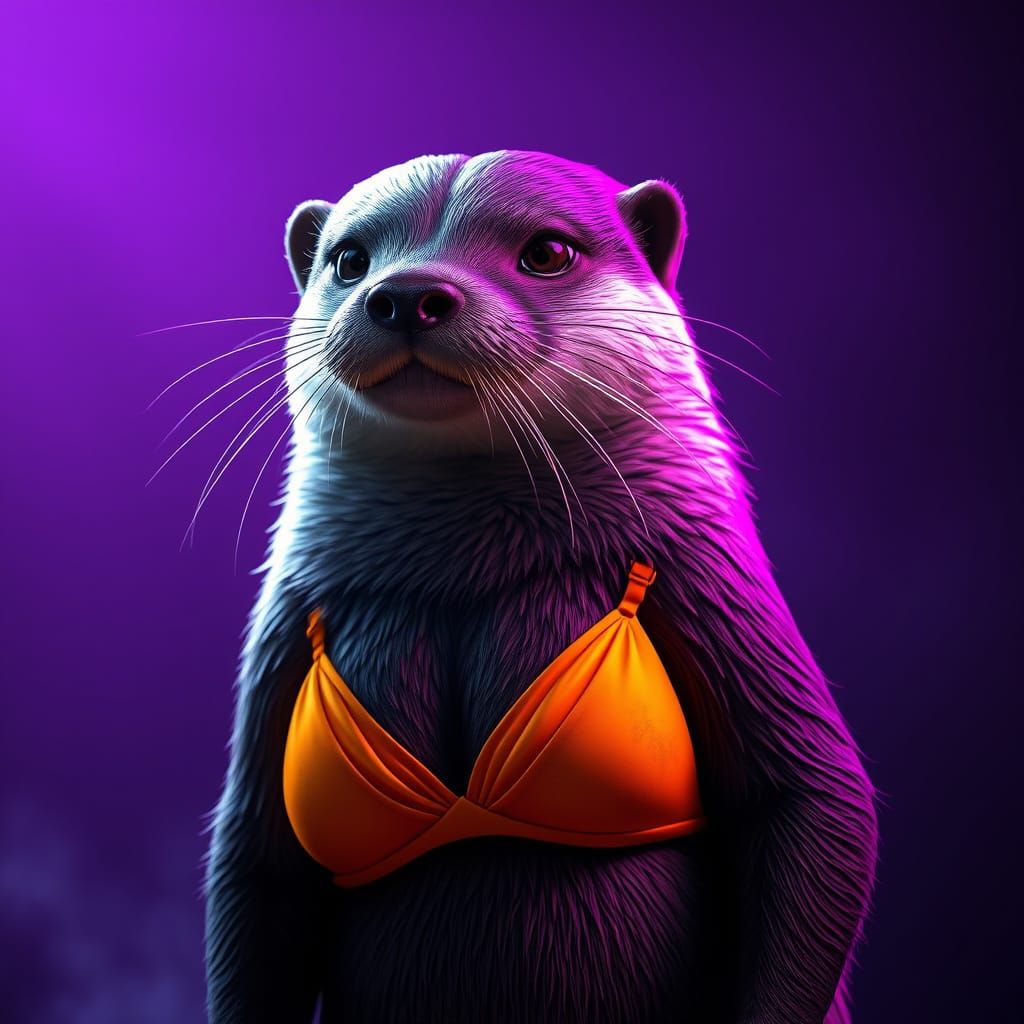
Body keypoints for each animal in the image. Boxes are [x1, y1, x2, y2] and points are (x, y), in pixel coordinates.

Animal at [202, 150, 877, 1023]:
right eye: (349, 261)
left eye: (548, 252)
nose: (406, 294)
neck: (464, 574)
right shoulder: (283, 624)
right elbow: (258, 861)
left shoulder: (712, 577)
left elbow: (812, 799)